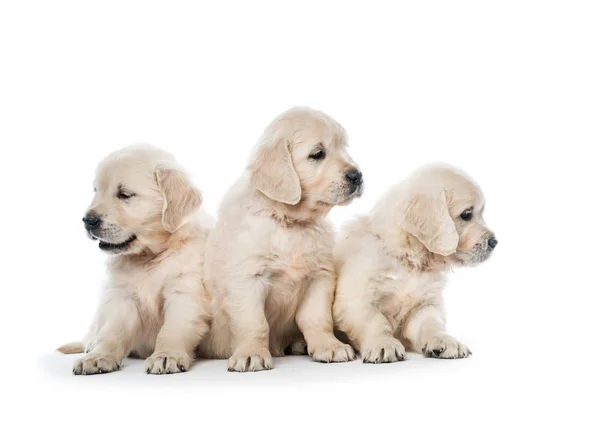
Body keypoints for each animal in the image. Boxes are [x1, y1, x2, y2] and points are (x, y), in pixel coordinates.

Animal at [58, 145, 213, 374]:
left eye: (124, 194)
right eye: (96, 191)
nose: (87, 220)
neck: (149, 258)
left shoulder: (184, 291)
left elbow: (172, 329)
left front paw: (166, 355)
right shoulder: (121, 297)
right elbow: (112, 332)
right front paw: (99, 356)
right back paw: (90, 345)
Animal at [202, 106, 364, 372]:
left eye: (344, 148)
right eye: (318, 154)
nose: (358, 176)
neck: (289, 222)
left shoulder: (319, 276)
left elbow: (317, 318)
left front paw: (329, 346)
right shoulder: (247, 278)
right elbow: (254, 322)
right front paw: (252, 353)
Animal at [332, 165, 496, 362]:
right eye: (466, 215)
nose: (494, 242)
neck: (407, 258)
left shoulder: (424, 304)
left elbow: (431, 323)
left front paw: (445, 341)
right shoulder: (355, 300)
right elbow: (375, 322)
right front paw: (384, 344)